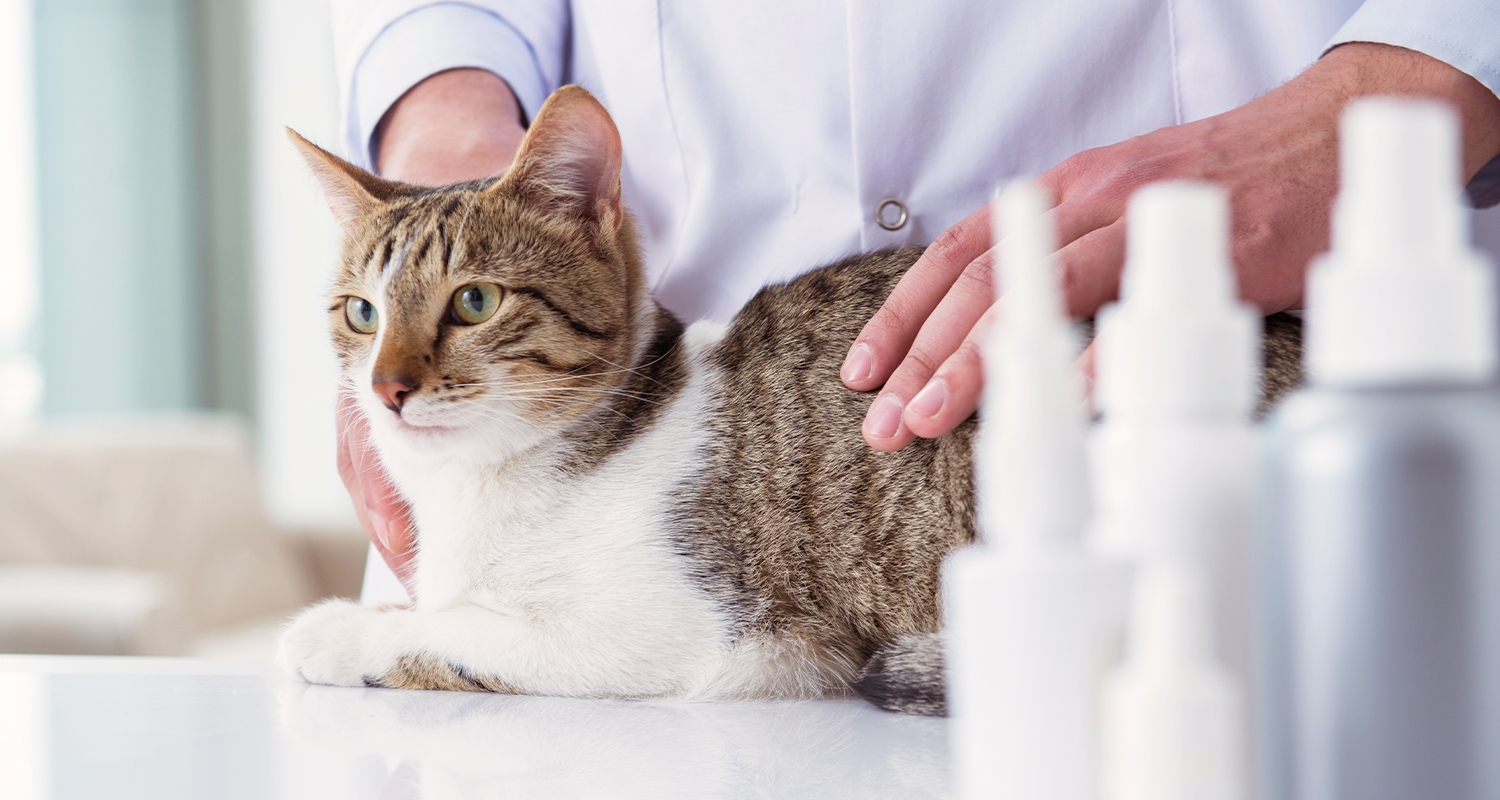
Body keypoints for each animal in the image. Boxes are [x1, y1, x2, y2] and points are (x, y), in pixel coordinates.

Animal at [279, 84, 1302, 714]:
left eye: (475, 302)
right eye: (362, 313)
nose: (386, 388)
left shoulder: (679, 633)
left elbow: (454, 632)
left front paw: (338, 630)